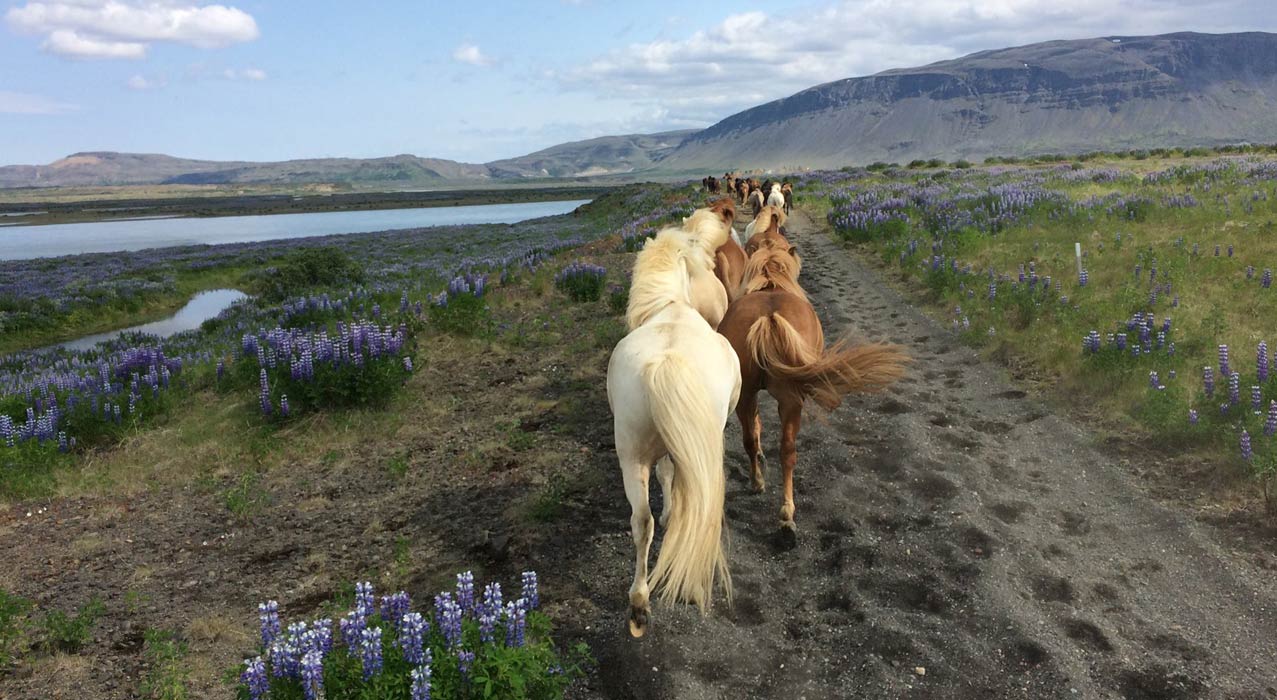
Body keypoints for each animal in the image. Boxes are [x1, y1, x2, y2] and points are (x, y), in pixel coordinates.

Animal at [605, 227, 740, 636]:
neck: (674, 307)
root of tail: (666, 362)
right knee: (696, 507)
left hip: (631, 456)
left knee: (641, 521)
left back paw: (638, 604)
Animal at [720, 235, 909, 531]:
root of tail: (768, 317)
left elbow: (757, 429)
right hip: (787, 397)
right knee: (786, 450)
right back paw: (784, 509)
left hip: (753, 395)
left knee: (761, 443)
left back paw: (766, 491)